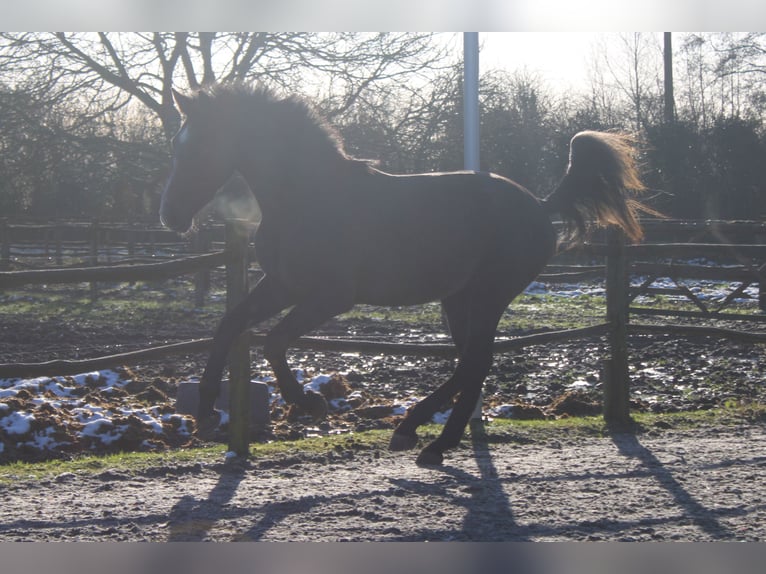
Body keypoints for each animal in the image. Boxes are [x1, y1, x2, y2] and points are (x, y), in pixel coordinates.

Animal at [159, 82, 652, 468]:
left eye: (200, 146)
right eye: (177, 146)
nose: (170, 216)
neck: (308, 196)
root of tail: (539, 205)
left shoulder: (330, 296)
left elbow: (273, 342)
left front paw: (310, 403)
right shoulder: (283, 285)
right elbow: (230, 325)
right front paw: (206, 410)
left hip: (490, 294)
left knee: (475, 361)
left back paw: (421, 435)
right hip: (459, 299)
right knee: (472, 363)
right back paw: (427, 438)